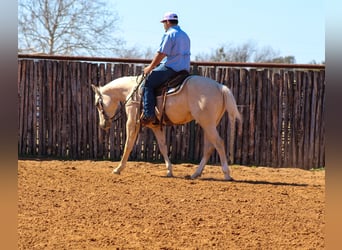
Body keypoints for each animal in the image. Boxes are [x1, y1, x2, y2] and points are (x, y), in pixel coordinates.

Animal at [91, 74, 240, 180]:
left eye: (97, 104)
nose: (103, 125)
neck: (131, 91)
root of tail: (220, 87)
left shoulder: (132, 123)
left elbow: (128, 144)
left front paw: (118, 169)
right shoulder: (156, 126)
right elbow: (162, 147)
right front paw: (169, 170)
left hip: (207, 124)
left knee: (219, 143)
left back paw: (226, 174)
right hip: (209, 124)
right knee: (209, 147)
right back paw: (195, 174)